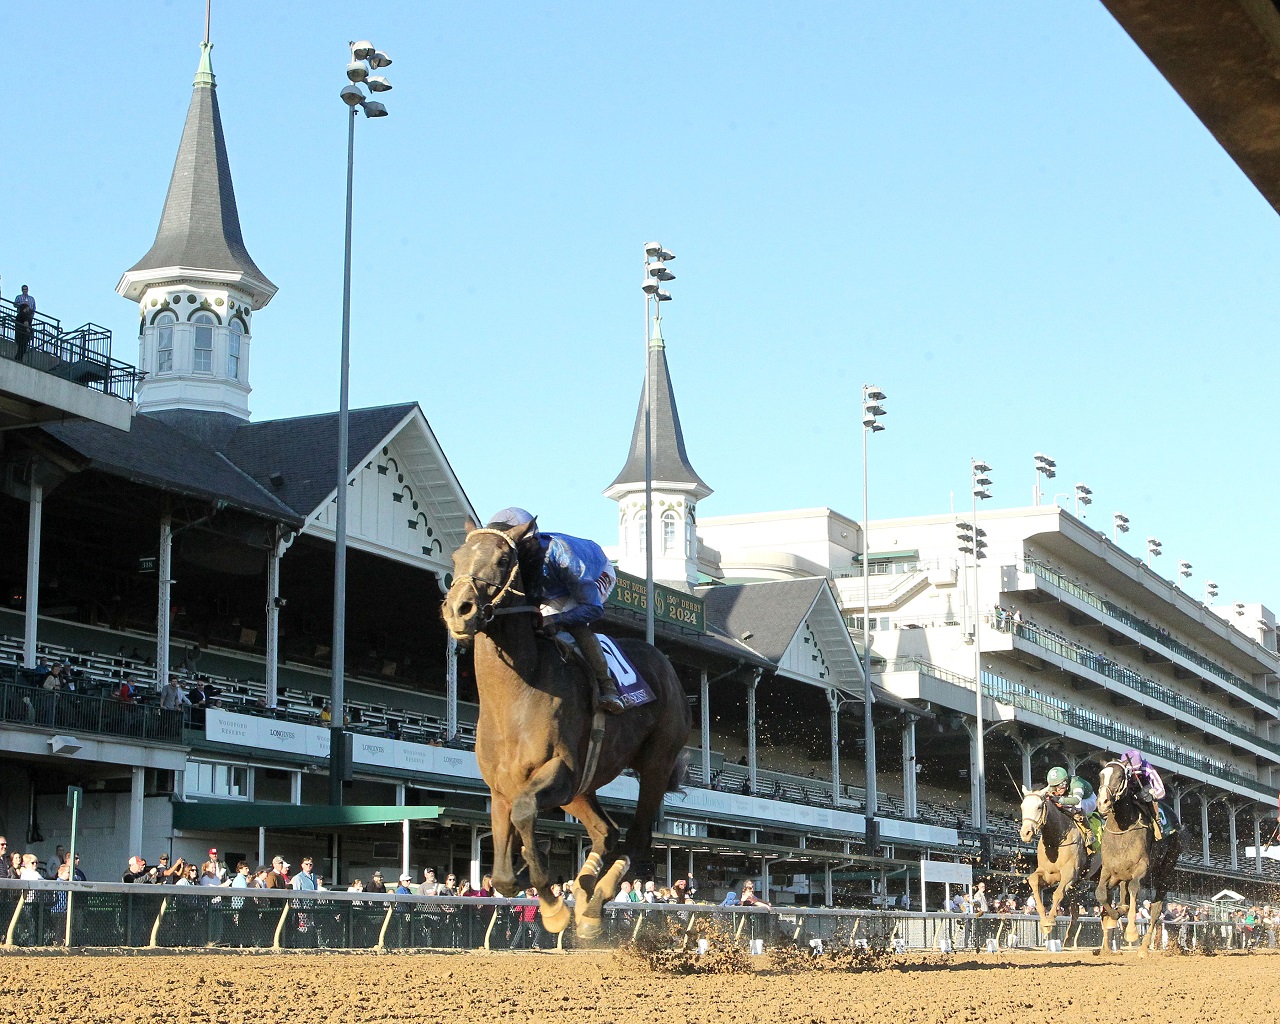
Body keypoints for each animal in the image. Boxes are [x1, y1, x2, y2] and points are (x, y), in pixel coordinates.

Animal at [445, 524, 696, 942]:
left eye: (503, 559)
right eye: (456, 556)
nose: (458, 609)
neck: (516, 694)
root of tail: (666, 665)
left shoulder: (560, 771)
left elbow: (525, 813)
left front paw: (552, 906)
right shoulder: (501, 788)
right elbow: (502, 877)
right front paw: (553, 895)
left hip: (655, 764)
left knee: (637, 837)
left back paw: (595, 901)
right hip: (583, 787)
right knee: (606, 832)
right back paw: (584, 889)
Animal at [1095, 757, 1182, 957]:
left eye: (1120, 776)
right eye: (1101, 776)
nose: (1103, 802)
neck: (1122, 828)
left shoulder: (1142, 867)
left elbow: (1134, 889)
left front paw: (1131, 932)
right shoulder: (1109, 870)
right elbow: (1101, 893)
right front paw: (1115, 915)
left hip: (1165, 870)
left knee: (1156, 908)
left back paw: (1143, 948)